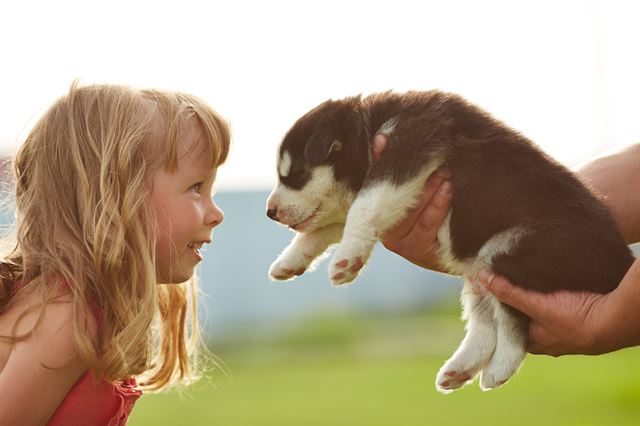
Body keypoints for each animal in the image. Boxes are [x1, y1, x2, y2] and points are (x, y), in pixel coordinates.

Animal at [266, 90, 636, 392]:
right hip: (479, 267)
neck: (368, 128)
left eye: (295, 174)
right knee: (484, 321)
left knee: (513, 323)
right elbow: (323, 227)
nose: (269, 212)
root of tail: (621, 259)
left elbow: (362, 208)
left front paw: (346, 261)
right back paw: (458, 370)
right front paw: (290, 261)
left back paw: (498, 370)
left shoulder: (406, 151)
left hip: (508, 251)